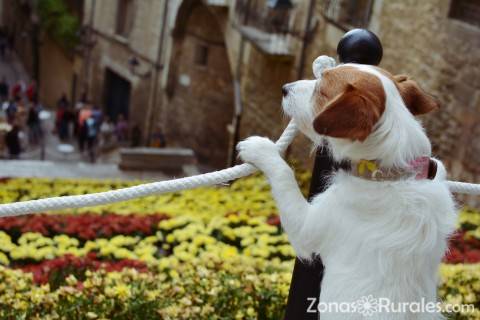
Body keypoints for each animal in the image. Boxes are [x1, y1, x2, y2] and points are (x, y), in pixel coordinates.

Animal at [236, 56, 458, 318]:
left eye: (321, 91)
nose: (285, 88)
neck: (395, 174)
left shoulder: (307, 229)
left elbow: (284, 173)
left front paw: (260, 148)